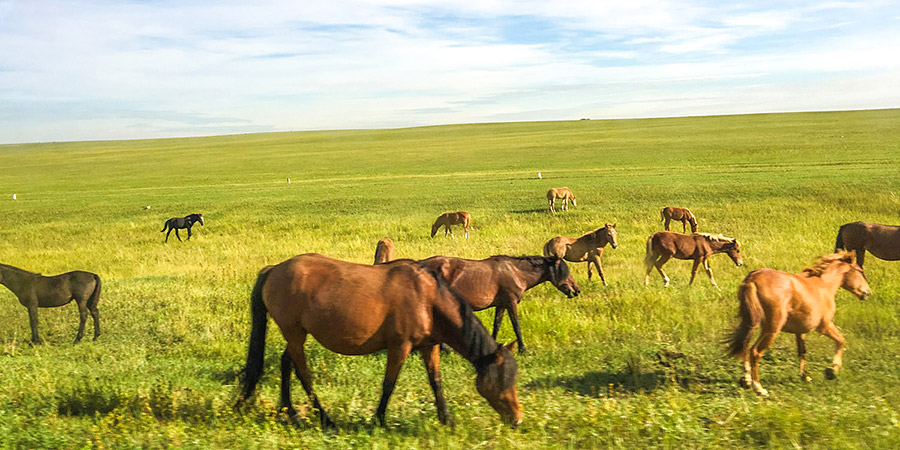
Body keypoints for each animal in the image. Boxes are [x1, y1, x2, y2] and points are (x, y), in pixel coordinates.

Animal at [236, 253, 524, 428]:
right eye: (502, 380)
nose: (518, 419)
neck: (428, 299)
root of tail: (274, 270)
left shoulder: (429, 347)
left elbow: (436, 382)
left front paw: (446, 419)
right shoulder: (400, 346)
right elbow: (389, 384)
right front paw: (379, 420)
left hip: (296, 333)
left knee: (286, 363)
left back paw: (290, 410)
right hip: (294, 332)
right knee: (303, 373)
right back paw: (325, 418)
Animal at [418, 255, 580, 354]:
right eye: (565, 272)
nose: (576, 290)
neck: (516, 273)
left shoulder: (501, 305)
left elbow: (496, 325)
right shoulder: (511, 303)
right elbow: (516, 326)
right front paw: (522, 349)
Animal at [724, 251, 872, 396]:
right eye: (860, 271)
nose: (868, 292)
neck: (823, 285)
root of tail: (752, 279)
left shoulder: (800, 331)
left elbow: (802, 351)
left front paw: (804, 376)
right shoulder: (824, 326)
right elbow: (841, 340)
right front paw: (832, 370)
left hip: (751, 323)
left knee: (745, 346)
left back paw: (746, 380)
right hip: (771, 329)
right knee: (755, 351)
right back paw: (759, 388)